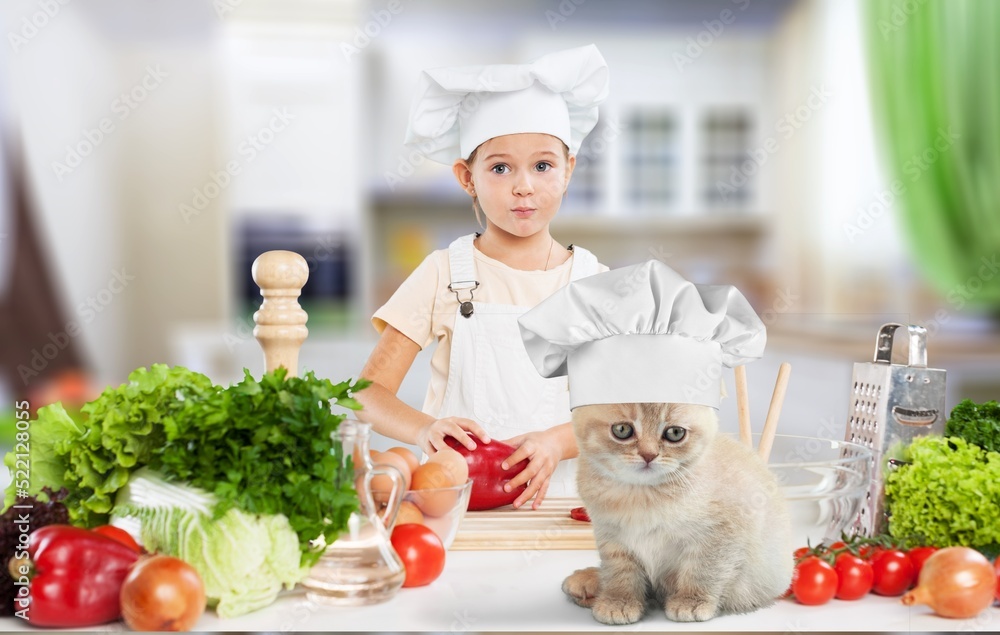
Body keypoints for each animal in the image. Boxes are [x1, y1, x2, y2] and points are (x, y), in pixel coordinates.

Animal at [568, 404, 792, 624]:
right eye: (622, 430)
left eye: (675, 433)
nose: (649, 455)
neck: (642, 496)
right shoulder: (610, 535)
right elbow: (619, 572)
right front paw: (618, 601)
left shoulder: (724, 531)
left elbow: (704, 568)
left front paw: (691, 601)